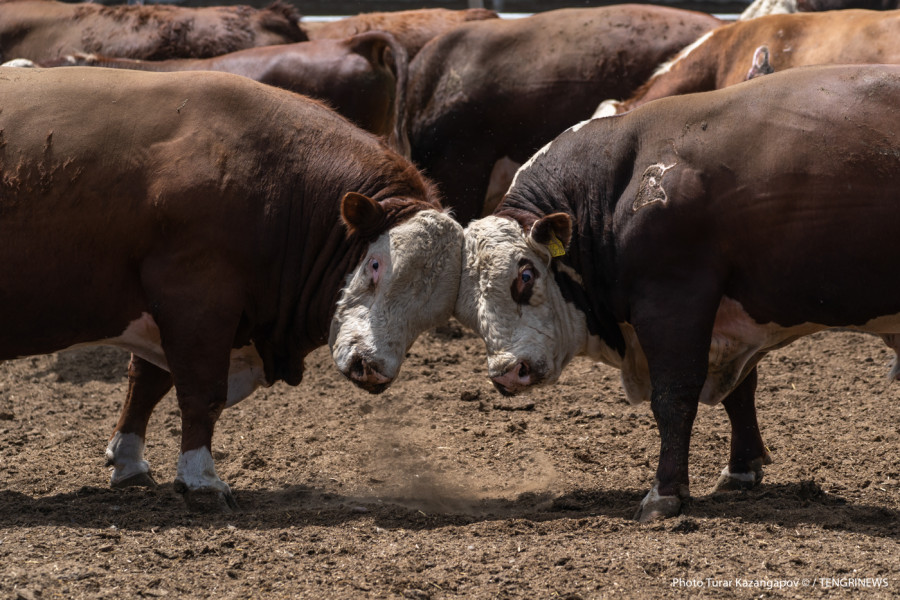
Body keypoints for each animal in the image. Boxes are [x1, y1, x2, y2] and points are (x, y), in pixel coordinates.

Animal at [0, 65, 464, 508]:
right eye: (375, 264)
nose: (373, 368)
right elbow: (201, 391)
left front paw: (129, 462)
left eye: (433, 313)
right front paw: (201, 480)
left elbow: (147, 382)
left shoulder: (163, 309)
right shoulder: (196, 299)